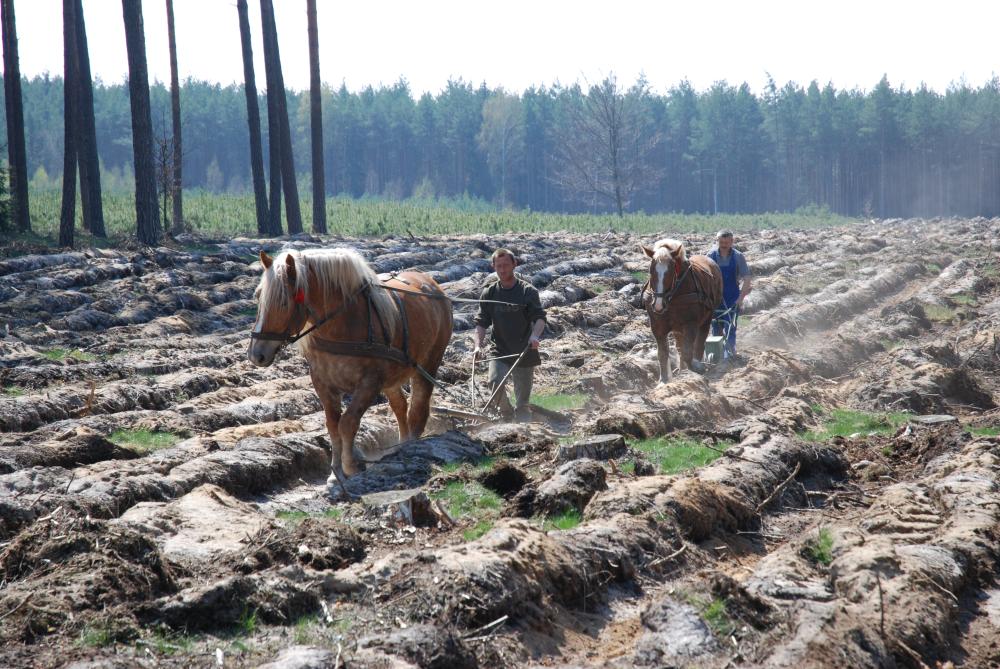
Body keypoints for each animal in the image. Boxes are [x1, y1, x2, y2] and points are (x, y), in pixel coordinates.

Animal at [250, 249, 454, 490]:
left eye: (282, 302)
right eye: (258, 296)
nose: (256, 354)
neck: (341, 325)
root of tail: (432, 284)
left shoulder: (369, 383)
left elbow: (347, 423)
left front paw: (350, 467)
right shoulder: (323, 384)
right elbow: (332, 425)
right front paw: (334, 473)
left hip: (429, 363)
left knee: (418, 409)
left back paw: (411, 447)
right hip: (392, 377)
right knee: (400, 406)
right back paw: (401, 444)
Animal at [644, 237, 724, 380]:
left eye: (670, 272)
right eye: (651, 270)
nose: (658, 305)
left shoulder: (690, 323)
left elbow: (688, 352)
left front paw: (697, 367)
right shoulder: (657, 326)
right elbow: (662, 354)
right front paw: (664, 380)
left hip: (706, 319)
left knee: (699, 343)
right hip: (677, 328)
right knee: (680, 346)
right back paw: (682, 370)